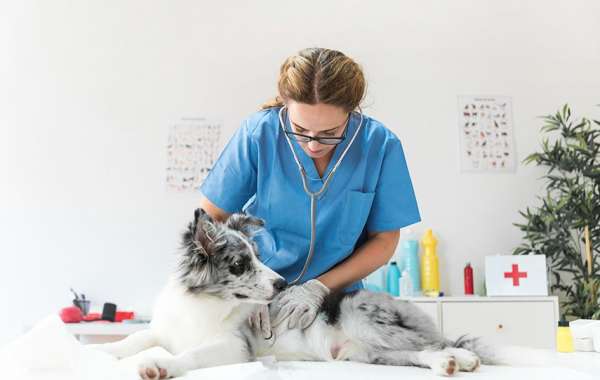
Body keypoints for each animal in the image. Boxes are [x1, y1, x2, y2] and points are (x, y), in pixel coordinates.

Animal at [91, 209, 494, 378]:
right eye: (240, 264)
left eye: (258, 256)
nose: (283, 285)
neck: (206, 304)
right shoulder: (164, 330)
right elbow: (136, 339)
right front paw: (102, 351)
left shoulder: (233, 346)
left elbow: (191, 354)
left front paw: (162, 366)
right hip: (365, 353)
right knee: (418, 354)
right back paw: (447, 364)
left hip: (364, 321)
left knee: (438, 342)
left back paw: (462, 357)